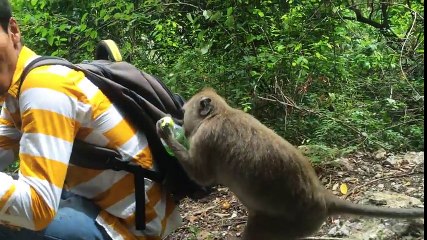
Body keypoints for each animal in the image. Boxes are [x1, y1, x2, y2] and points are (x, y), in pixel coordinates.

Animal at [157, 88, 424, 240]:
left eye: (184, 111)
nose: (181, 121)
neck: (219, 114)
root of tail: (322, 198)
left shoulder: (205, 138)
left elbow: (202, 176)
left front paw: (165, 134)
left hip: (288, 224)